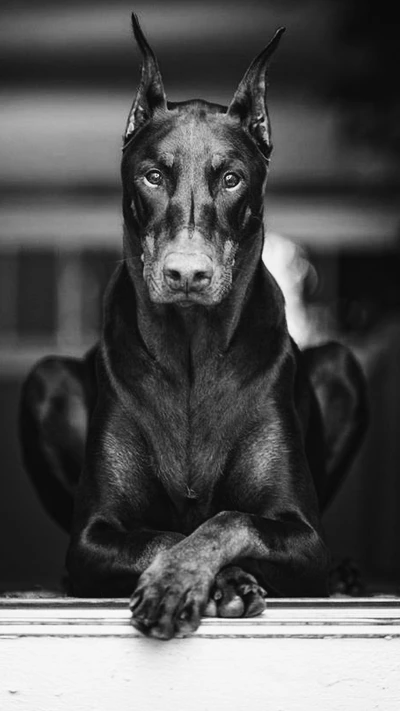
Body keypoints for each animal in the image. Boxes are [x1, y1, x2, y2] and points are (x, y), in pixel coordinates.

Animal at [20, 15, 368, 640]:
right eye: (153, 175)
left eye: (231, 178)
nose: (186, 273)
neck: (191, 347)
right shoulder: (93, 538)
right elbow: (164, 534)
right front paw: (208, 581)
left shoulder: (304, 537)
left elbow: (229, 519)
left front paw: (186, 580)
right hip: (46, 380)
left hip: (341, 367)